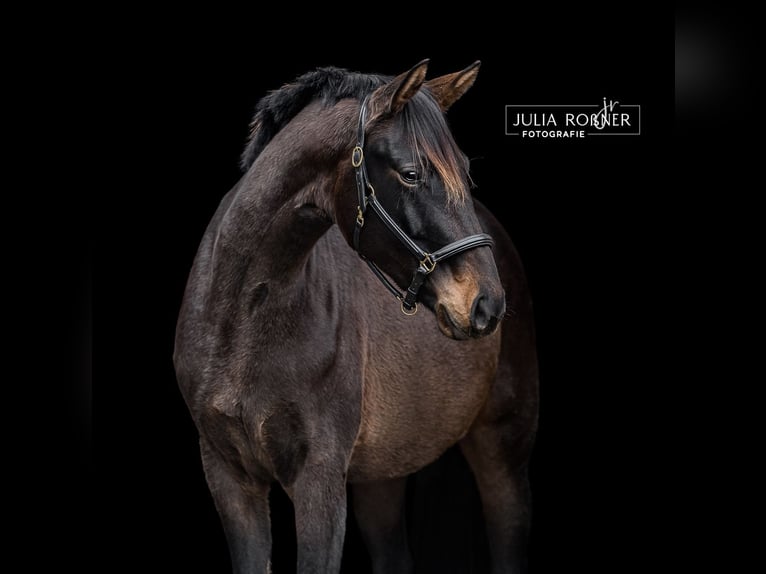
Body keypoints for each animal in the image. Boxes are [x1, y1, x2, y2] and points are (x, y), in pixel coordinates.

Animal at [173, 59, 539, 574]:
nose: (486, 304)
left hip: (504, 449)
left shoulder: (319, 478)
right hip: (382, 474)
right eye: (410, 174)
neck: (242, 324)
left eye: (465, 172)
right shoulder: (230, 478)